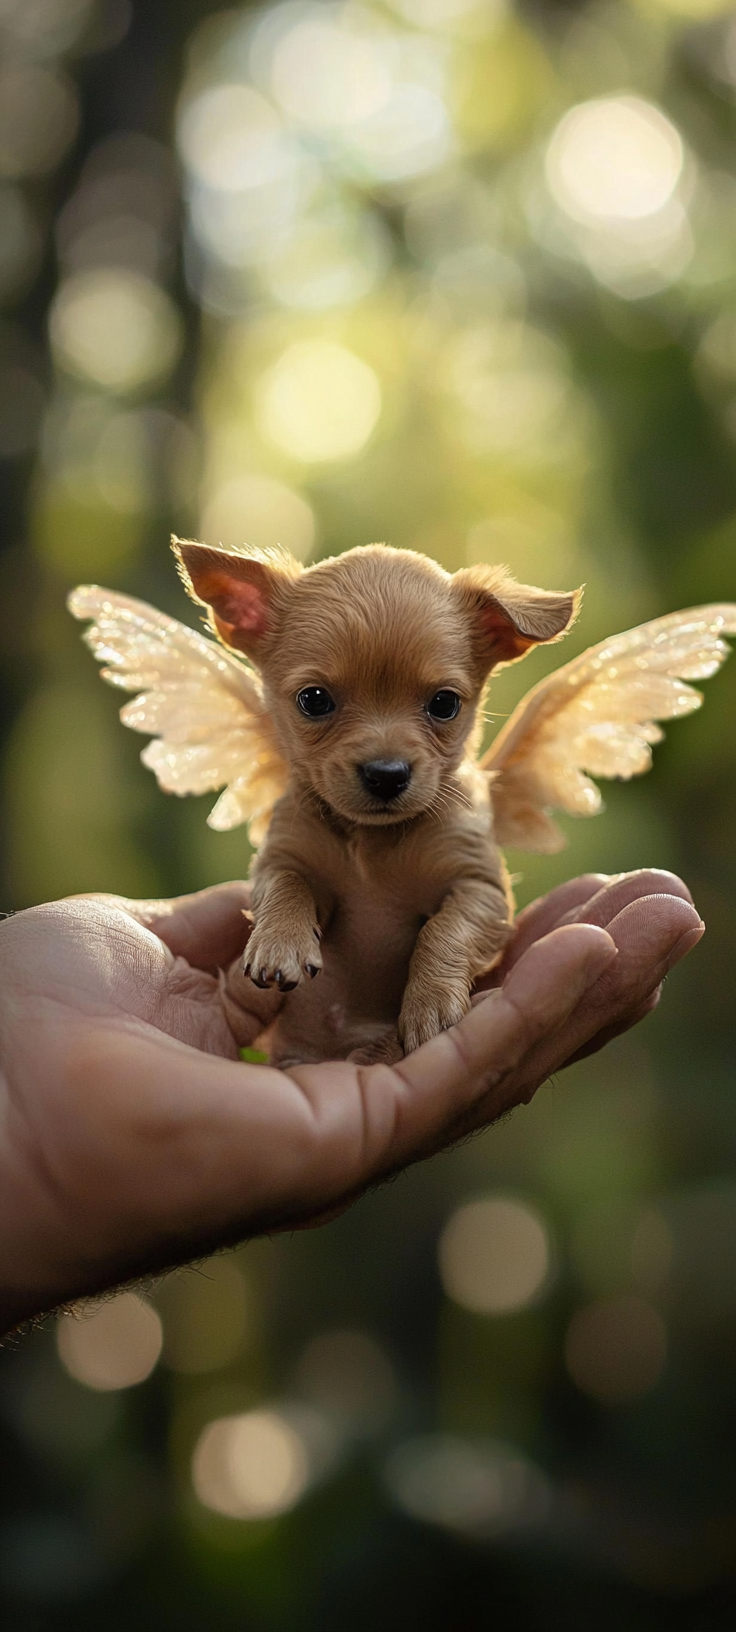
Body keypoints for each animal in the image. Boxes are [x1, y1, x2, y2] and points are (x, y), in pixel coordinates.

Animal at [174, 541, 580, 1064]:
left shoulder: (482, 888)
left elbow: (445, 929)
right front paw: (279, 942)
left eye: (444, 704)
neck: (372, 841)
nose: (386, 774)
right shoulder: (282, 856)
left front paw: (430, 1003)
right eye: (313, 700)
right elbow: (286, 885)